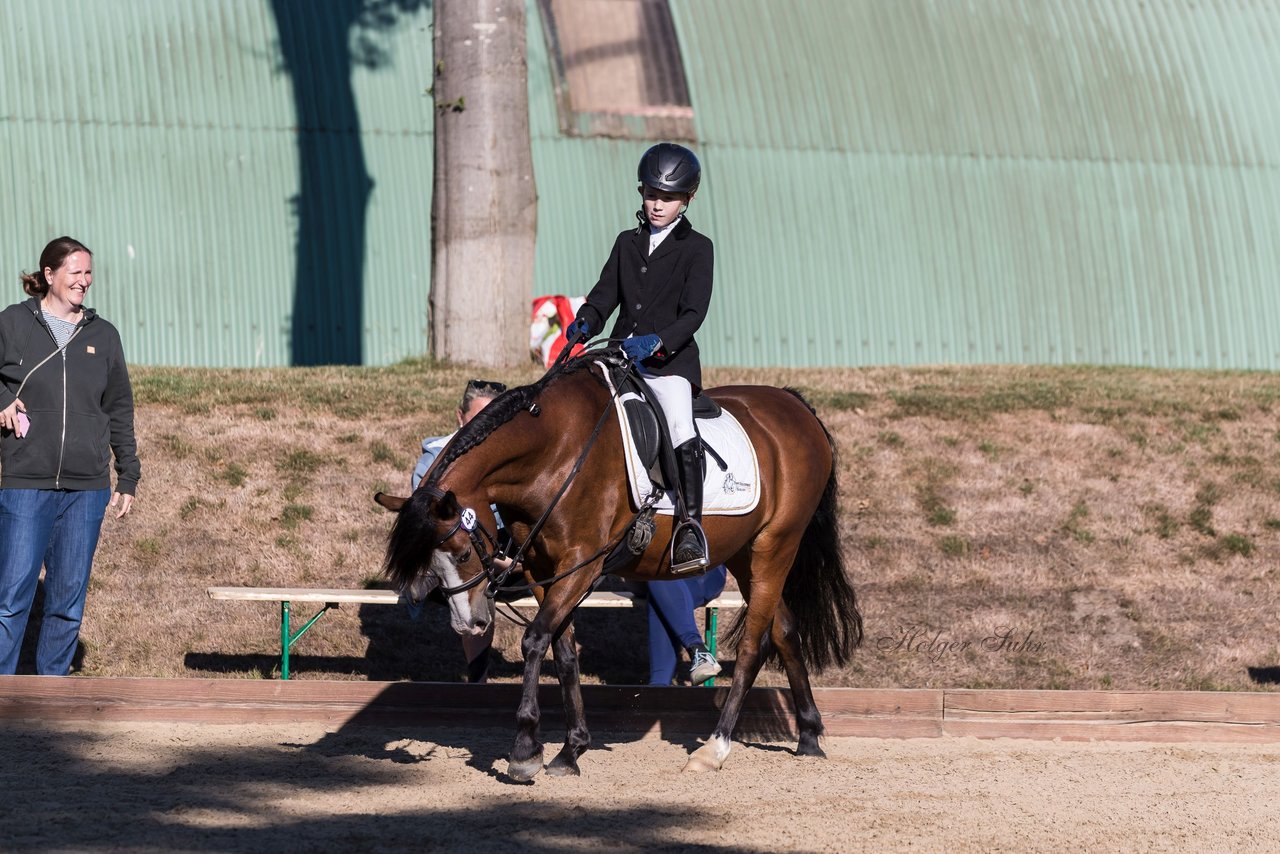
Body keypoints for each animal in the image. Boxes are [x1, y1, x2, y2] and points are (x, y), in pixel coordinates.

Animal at [376, 348, 860, 783]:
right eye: (428, 562)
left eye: (462, 553)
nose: (469, 624)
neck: (551, 451)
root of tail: (793, 403)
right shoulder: (542, 569)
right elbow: (563, 652)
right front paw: (571, 750)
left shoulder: (580, 565)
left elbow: (534, 641)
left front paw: (526, 750)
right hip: (747, 555)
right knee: (785, 631)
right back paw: (809, 736)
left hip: (775, 546)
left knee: (752, 647)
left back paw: (713, 750)